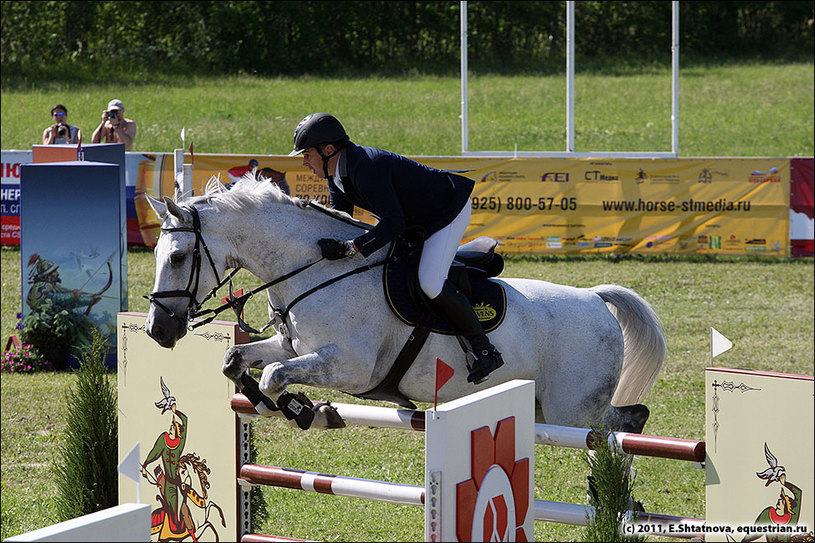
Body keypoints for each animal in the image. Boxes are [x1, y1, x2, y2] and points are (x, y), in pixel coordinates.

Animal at [147, 178, 668, 434]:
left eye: (178, 257)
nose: (157, 330)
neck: (313, 268)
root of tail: (595, 298)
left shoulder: (351, 367)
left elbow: (277, 376)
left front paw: (305, 411)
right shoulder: (291, 346)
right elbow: (237, 359)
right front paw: (276, 404)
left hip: (571, 410)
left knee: (622, 425)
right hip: (547, 408)